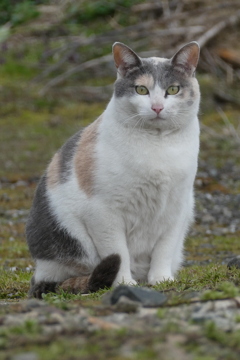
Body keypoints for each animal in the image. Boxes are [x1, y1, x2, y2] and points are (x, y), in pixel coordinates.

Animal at [25, 40, 201, 298]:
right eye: (141, 90)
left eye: (173, 89)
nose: (157, 107)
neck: (158, 146)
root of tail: (39, 272)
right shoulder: (104, 213)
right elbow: (118, 252)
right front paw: (124, 283)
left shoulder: (176, 208)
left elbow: (164, 249)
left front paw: (161, 280)